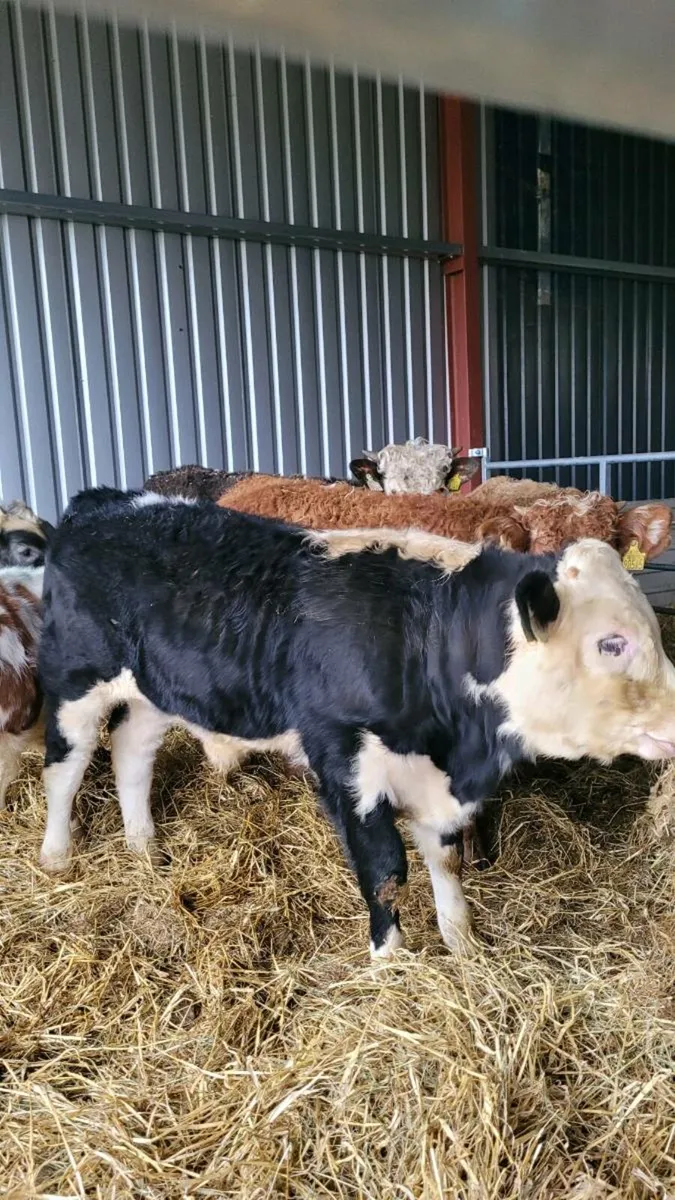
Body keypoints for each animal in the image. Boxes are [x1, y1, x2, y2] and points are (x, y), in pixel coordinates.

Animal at [36, 487, 675, 957]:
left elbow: (445, 860)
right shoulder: (346, 759)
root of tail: (105, 502)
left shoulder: (438, 780)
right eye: (611, 643)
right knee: (66, 766)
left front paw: (464, 945)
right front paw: (392, 965)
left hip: (154, 692)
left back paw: (144, 848)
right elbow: (385, 868)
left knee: (130, 753)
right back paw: (56, 856)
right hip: (75, 679)